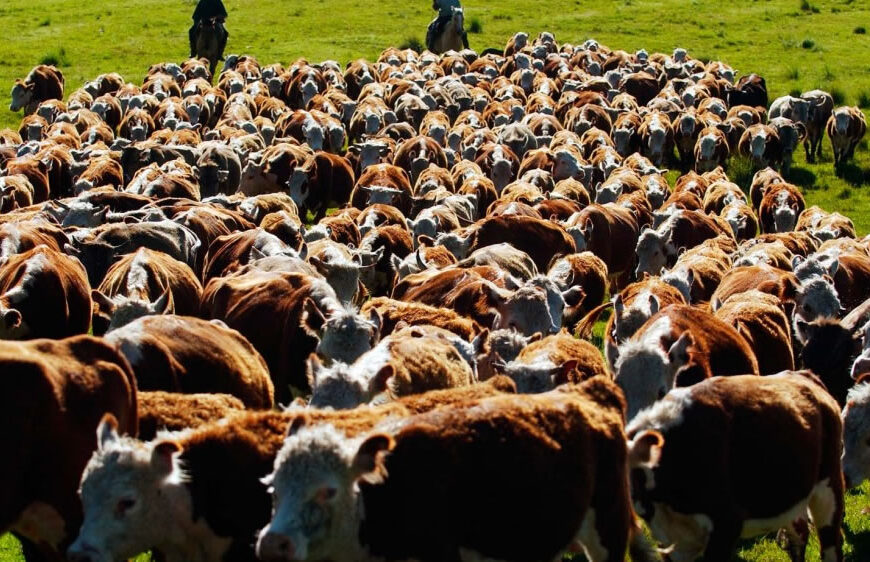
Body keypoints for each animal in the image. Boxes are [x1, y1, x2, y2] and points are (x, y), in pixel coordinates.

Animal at [628, 372, 844, 560]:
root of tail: (803, 374)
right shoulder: (674, 541)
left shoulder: (726, 523)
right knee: (798, 535)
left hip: (829, 488)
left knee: (831, 543)